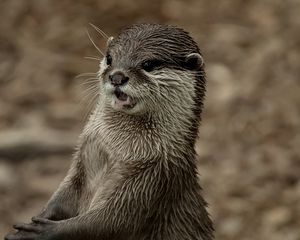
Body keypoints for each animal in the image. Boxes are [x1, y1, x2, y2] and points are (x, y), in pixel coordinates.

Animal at [5, 23, 214, 240]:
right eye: (110, 58)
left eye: (148, 64)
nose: (117, 77)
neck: (115, 149)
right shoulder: (81, 161)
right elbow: (64, 194)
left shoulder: (154, 180)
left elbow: (108, 223)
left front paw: (43, 231)